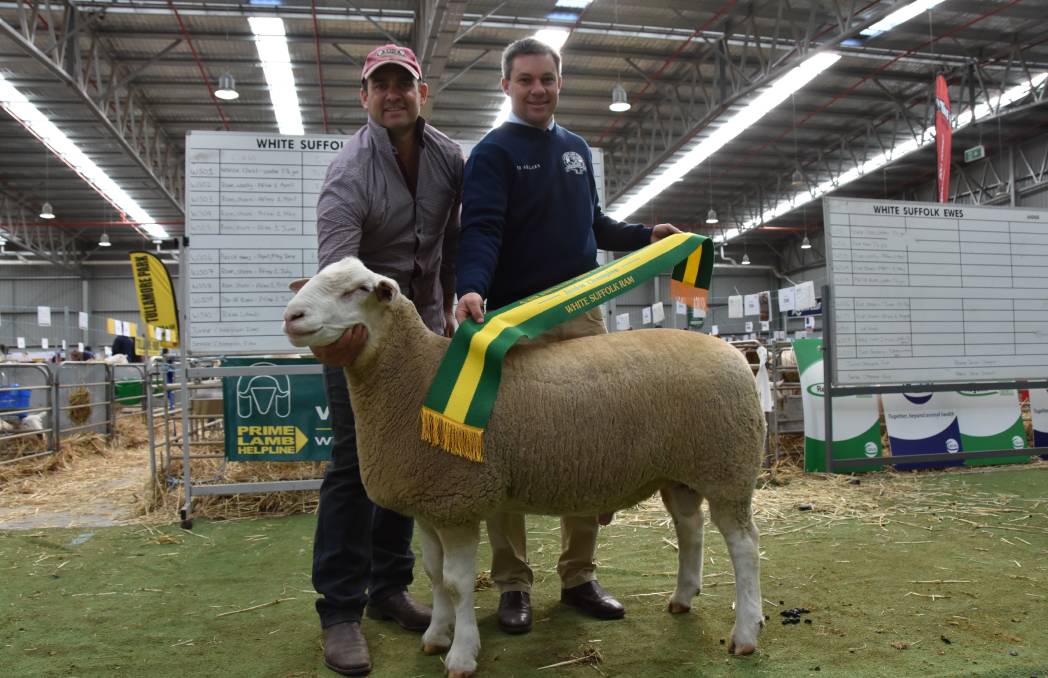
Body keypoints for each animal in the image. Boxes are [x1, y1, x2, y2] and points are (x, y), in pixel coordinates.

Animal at [282, 257, 767, 674]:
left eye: (358, 290)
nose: (291, 316)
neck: (417, 377)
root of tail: (737, 354)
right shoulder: (429, 506)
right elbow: (435, 576)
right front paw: (436, 636)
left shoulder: (457, 501)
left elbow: (456, 583)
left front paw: (462, 655)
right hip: (680, 472)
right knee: (690, 528)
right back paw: (683, 597)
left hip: (728, 468)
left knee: (745, 547)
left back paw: (745, 633)